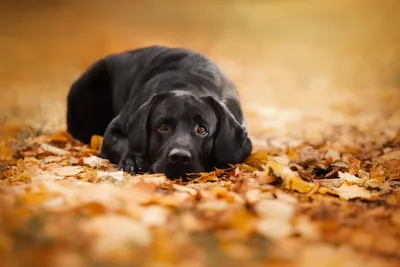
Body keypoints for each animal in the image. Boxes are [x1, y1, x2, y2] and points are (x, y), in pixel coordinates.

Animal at [67, 46, 252, 178]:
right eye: (163, 126)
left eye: (202, 129)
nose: (179, 158)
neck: (190, 85)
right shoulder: (114, 129)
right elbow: (125, 143)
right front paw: (133, 159)